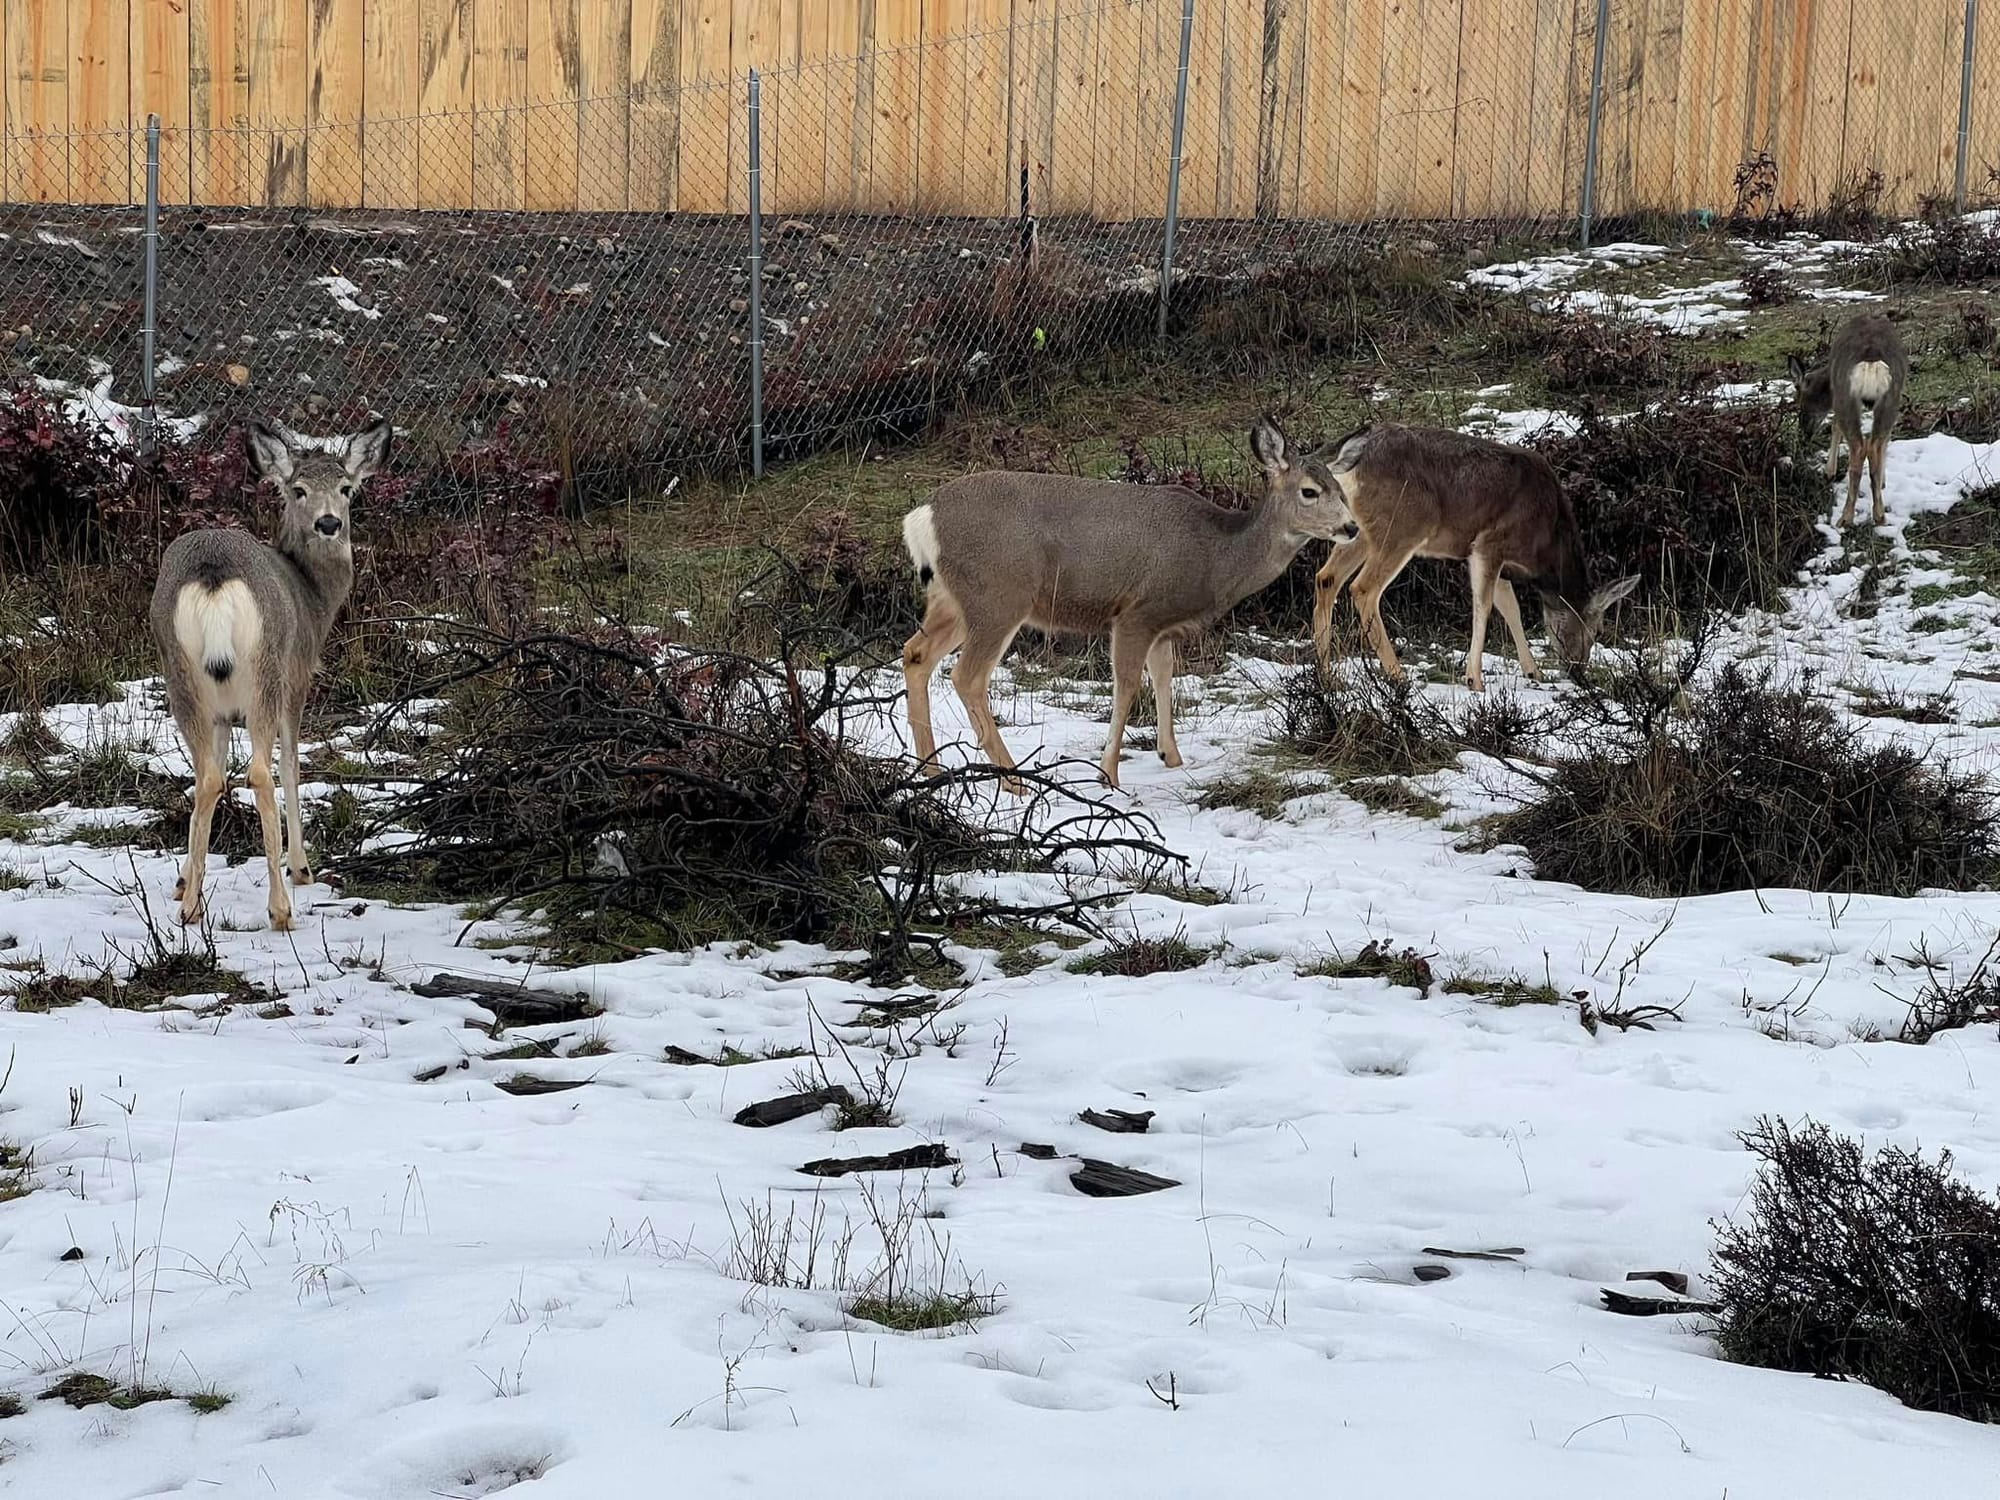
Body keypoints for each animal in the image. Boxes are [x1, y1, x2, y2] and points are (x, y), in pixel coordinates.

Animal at [148, 418, 393, 931]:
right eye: (298, 489)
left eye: (346, 488)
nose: (329, 523)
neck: (313, 596)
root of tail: (213, 572)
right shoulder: (297, 678)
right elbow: (293, 765)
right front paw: (302, 867)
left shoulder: (223, 713)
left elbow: (214, 770)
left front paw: (184, 879)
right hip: (265, 669)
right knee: (260, 772)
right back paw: (281, 908)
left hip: (181, 674)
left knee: (207, 776)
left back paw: (190, 907)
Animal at [900, 418, 1359, 791]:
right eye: (1310, 491)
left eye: (1342, 490)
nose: (1352, 527)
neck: (1216, 556)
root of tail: (921, 517)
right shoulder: (1137, 611)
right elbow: (1127, 684)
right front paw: (1109, 773)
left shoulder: (1163, 623)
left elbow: (1165, 674)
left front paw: (1171, 756)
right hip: (999, 593)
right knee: (967, 676)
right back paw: (1013, 780)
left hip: (954, 599)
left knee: (916, 653)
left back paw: (931, 770)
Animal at [1308, 425, 1639, 692]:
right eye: (1597, 630)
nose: (1579, 673)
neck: (1542, 544)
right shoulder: (1488, 543)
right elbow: (1484, 605)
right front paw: (1474, 679)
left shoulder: (1496, 560)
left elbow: (1510, 607)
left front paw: (1534, 671)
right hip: (1404, 524)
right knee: (1363, 588)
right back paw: (1397, 674)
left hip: (1359, 530)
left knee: (1326, 578)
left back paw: (1326, 674)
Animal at [1787, 311, 1907, 529]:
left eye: (1798, 400)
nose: (1804, 433)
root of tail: (1871, 362)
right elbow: (1886, 440)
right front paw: (1883, 481)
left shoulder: (1837, 396)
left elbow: (1835, 427)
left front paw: (1829, 471)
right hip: (1891, 398)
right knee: (1875, 444)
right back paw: (1879, 515)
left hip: (1846, 396)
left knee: (1859, 446)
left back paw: (1845, 517)